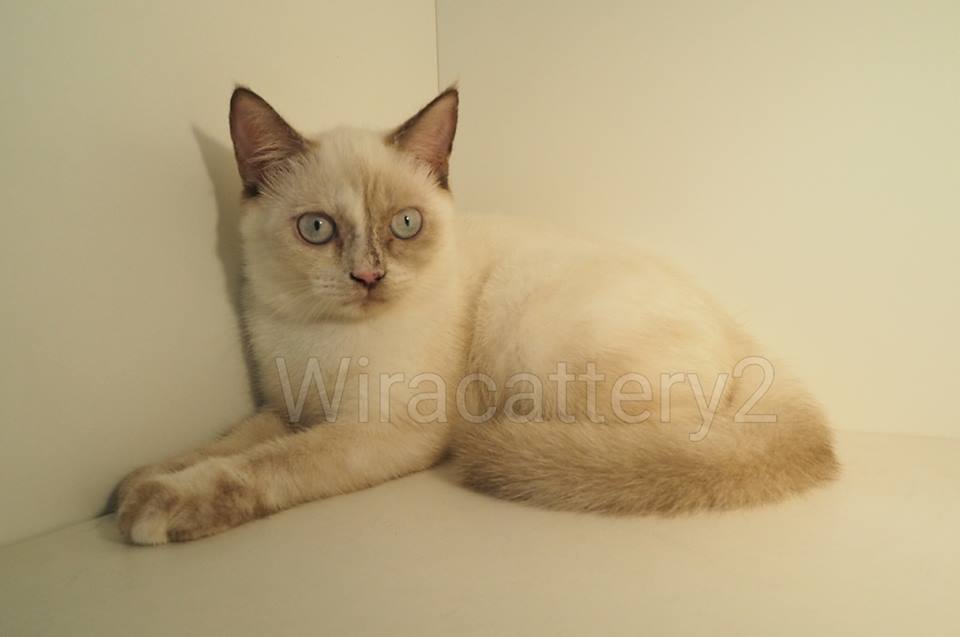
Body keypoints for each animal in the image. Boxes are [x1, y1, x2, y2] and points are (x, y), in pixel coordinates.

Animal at [116, 87, 838, 545]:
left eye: (405, 225)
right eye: (317, 228)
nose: (369, 277)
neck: (315, 335)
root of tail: (738, 329)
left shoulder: (378, 425)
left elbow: (266, 465)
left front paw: (158, 504)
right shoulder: (287, 407)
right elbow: (220, 445)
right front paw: (137, 483)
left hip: (532, 324)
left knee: (661, 446)